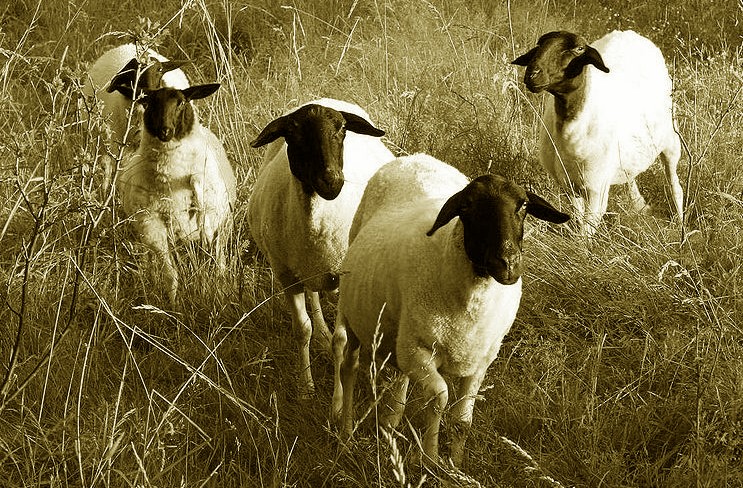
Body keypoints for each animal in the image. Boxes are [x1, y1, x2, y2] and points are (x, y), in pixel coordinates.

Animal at [109, 81, 236, 305]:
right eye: (148, 103)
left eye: (181, 103)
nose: (165, 131)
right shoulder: (152, 227)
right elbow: (170, 274)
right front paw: (173, 304)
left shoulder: (210, 212)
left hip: (224, 222)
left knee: (219, 258)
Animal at [247, 98, 395, 399]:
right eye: (293, 134)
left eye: (343, 130)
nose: (332, 181)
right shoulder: (287, 275)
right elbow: (302, 329)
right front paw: (306, 388)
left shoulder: (343, 275)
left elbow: (342, 341)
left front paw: (337, 400)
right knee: (314, 296)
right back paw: (321, 336)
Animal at [331, 153, 570, 467]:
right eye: (467, 207)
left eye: (524, 205)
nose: (508, 263)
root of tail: (414, 158)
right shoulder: (418, 351)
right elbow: (439, 399)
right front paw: (431, 458)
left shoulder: (480, 362)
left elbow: (462, 421)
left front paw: (455, 466)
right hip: (355, 313)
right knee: (349, 367)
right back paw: (346, 432)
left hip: (399, 334)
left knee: (398, 377)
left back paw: (390, 422)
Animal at [511, 30, 684, 236]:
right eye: (539, 46)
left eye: (578, 49)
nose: (532, 74)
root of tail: (630, 33)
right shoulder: (568, 185)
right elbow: (578, 219)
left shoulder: (597, 189)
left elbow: (586, 231)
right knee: (630, 175)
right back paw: (640, 205)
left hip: (672, 141)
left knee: (675, 185)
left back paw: (680, 224)